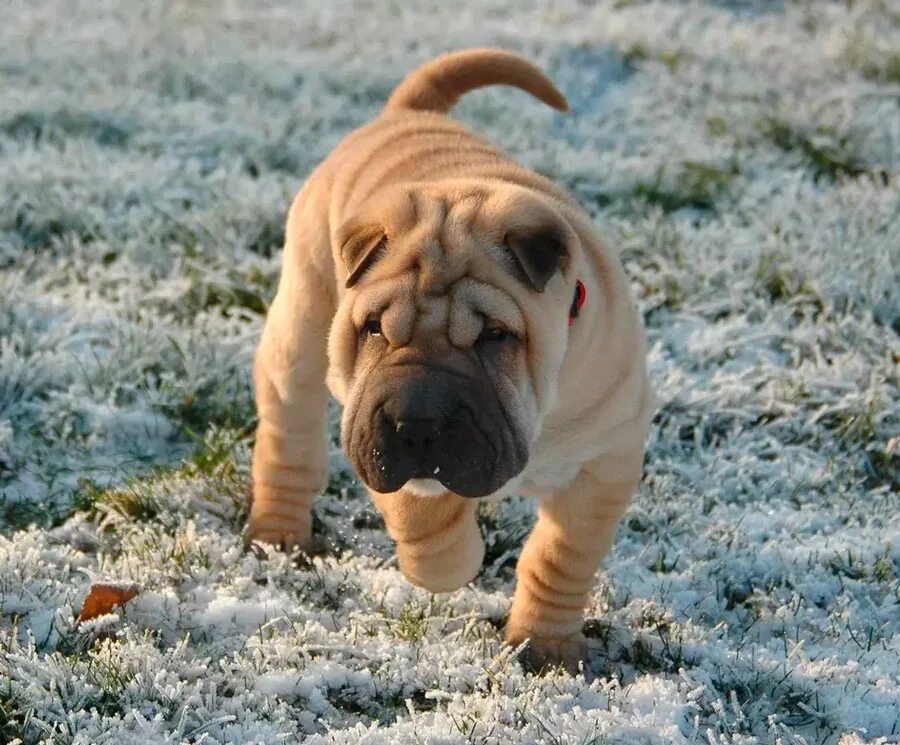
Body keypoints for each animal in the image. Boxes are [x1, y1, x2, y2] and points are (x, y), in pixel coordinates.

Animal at [246, 49, 652, 672]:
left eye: (494, 336)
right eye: (373, 329)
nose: (416, 421)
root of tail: (407, 113)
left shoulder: (605, 461)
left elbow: (561, 556)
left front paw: (548, 645)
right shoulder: (377, 437)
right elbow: (424, 517)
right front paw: (454, 563)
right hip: (300, 328)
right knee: (288, 440)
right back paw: (279, 533)